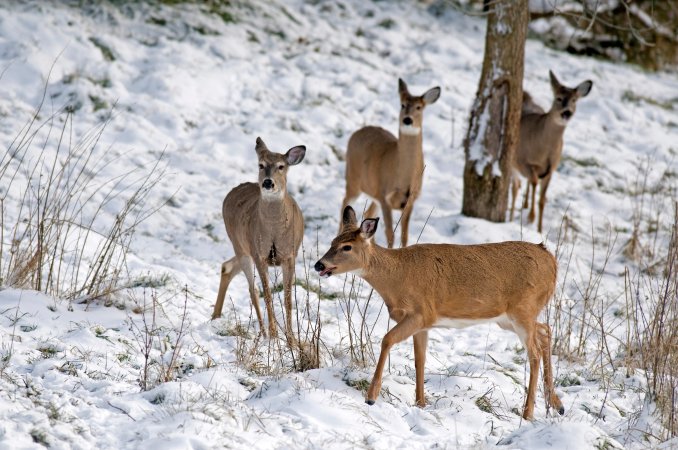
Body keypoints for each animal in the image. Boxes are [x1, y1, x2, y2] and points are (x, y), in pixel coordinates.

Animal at [214, 135, 306, 340]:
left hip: (243, 248)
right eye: (261, 165)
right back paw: (263, 333)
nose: (268, 182)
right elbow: (268, 295)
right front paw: (274, 335)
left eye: (281, 166)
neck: (274, 231)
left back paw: (215, 316)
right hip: (241, 246)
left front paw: (292, 339)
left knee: (227, 267)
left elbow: (288, 298)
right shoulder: (260, 255)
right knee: (252, 289)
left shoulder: (290, 255)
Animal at [316, 206, 564, 420]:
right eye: (332, 241)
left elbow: (387, 340)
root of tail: (551, 259)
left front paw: (371, 397)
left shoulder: (421, 313)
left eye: (347, 247)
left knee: (534, 353)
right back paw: (557, 405)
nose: (319, 265)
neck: (397, 276)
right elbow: (420, 360)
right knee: (545, 331)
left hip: (523, 310)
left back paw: (528, 413)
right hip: (510, 318)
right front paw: (421, 403)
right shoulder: (423, 324)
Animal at [342, 77, 444, 246]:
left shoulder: (410, 200)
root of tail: (358, 132)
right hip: (353, 179)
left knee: (367, 212)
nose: (407, 120)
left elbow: (404, 235)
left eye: (419, 107)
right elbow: (390, 233)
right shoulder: (385, 196)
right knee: (344, 203)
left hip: (373, 192)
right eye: (402, 104)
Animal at [510, 71, 596, 232]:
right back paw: (512, 215)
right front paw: (531, 217)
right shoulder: (523, 162)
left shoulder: (551, 170)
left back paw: (524, 205)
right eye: (559, 98)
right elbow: (533, 182)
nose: (567, 113)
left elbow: (542, 199)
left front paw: (539, 229)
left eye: (574, 100)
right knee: (515, 187)